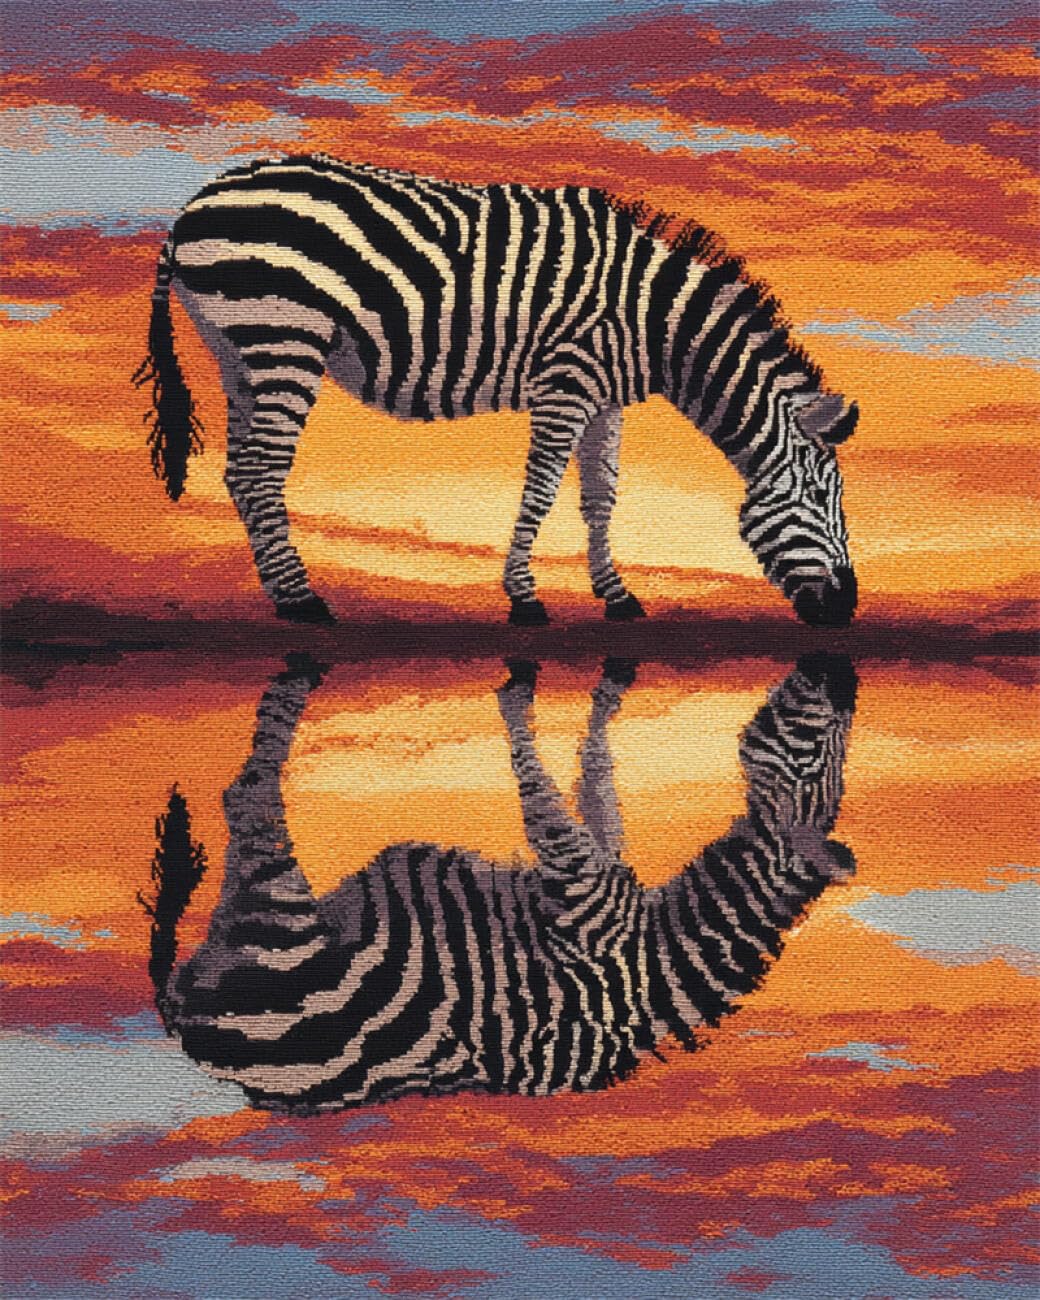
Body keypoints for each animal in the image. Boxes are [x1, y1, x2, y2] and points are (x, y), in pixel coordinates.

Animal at [135, 154, 859, 627]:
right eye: (822, 499)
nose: (848, 607)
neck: (653, 321)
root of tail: (194, 205)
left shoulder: (606, 398)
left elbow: (601, 498)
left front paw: (617, 597)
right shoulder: (566, 382)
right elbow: (541, 488)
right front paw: (524, 597)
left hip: (240, 352)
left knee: (239, 472)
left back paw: (283, 596)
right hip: (285, 337)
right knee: (261, 469)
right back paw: (303, 601)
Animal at [143, 651, 857, 1112]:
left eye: (815, 754)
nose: (840, 667)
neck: (666, 950)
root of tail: (183, 1022)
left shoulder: (580, 891)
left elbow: (539, 782)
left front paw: (517, 688)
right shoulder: (595, 869)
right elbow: (596, 778)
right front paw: (613, 678)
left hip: (280, 910)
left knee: (248, 795)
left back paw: (298, 677)